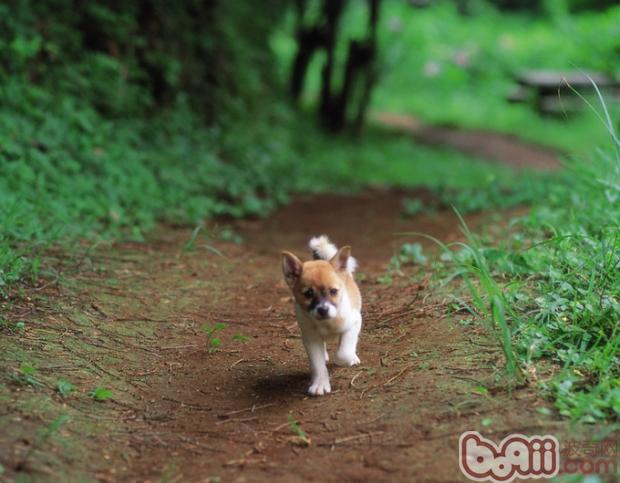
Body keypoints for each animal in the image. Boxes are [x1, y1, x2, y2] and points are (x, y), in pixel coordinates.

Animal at [282, 235, 364, 398]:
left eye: (333, 291)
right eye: (308, 293)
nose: (323, 310)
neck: (327, 323)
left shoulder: (354, 322)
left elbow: (343, 352)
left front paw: (345, 359)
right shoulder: (311, 339)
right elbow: (317, 364)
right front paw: (320, 384)